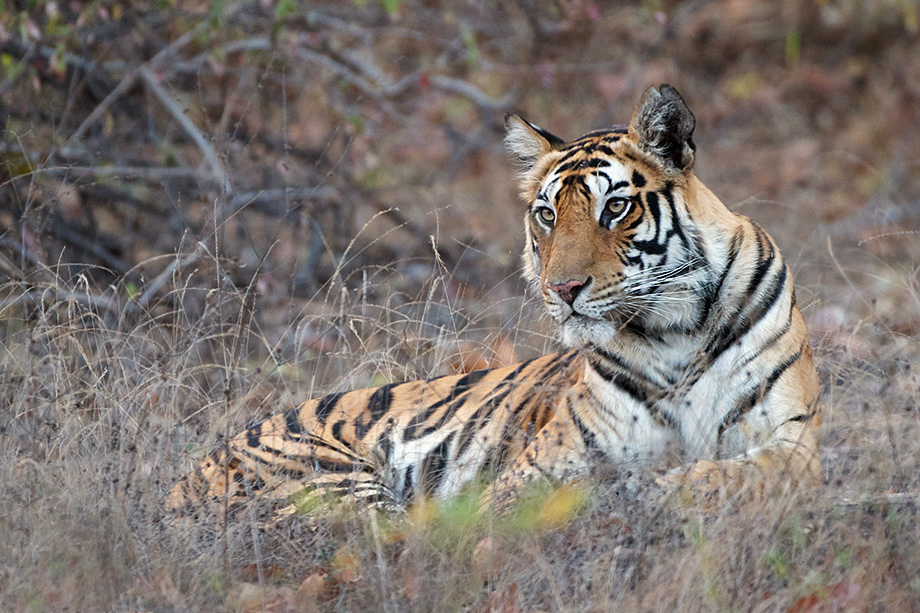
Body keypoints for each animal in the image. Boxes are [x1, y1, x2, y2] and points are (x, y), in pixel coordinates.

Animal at [165, 83, 820, 520]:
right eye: (547, 215)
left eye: (615, 207)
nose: (562, 290)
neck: (673, 330)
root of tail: (181, 478)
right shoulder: (538, 467)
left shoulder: (793, 437)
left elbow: (726, 473)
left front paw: (652, 489)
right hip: (327, 476)